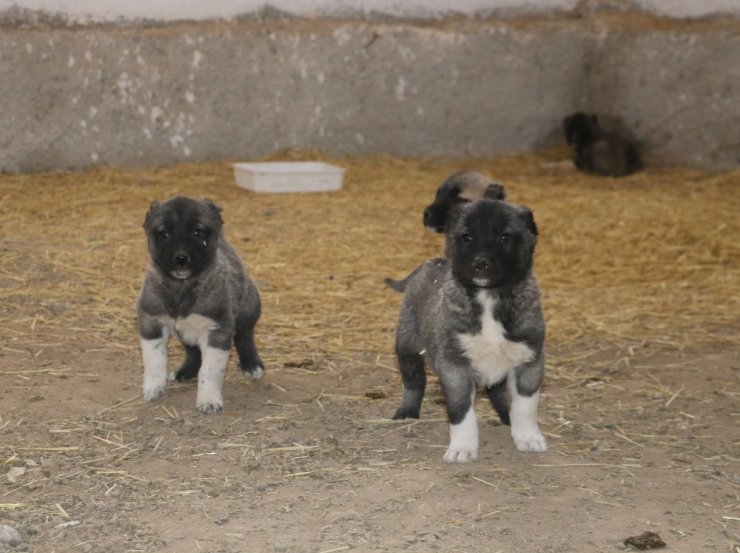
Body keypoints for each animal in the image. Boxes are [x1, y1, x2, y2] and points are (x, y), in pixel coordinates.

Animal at [137, 196, 264, 412]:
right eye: (164, 233)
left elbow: (209, 371)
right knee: (193, 352)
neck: (183, 286)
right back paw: (184, 372)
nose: (181, 258)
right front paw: (153, 387)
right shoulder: (151, 323)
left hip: (248, 307)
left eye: (198, 232)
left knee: (244, 337)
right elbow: (155, 361)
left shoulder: (217, 331)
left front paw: (208, 400)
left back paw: (252, 365)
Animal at [394, 198, 544, 462]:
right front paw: (462, 447)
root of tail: (430, 263)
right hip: (406, 343)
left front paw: (527, 437)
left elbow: (525, 406)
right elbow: (461, 411)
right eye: (466, 237)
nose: (480, 263)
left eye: (505, 237)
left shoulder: (529, 361)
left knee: (498, 392)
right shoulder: (455, 366)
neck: (489, 298)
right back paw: (407, 412)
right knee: (413, 380)